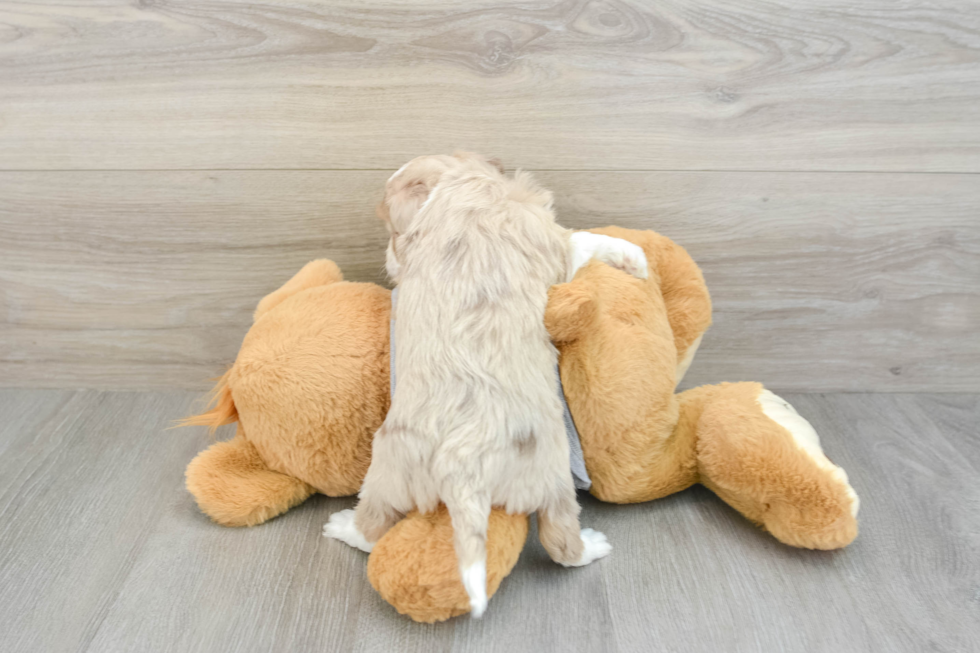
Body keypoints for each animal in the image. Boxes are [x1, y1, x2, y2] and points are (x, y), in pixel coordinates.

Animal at [326, 154, 648, 616]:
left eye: (392, 230)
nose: (392, 259)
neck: (459, 187)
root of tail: (463, 470)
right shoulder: (549, 239)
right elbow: (584, 241)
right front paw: (636, 259)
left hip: (397, 468)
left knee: (377, 526)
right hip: (543, 480)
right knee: (558, 542)